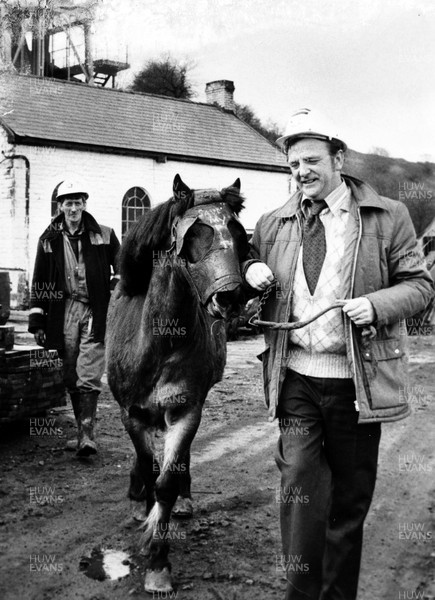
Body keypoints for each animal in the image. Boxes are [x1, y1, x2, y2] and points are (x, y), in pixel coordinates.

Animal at [105, 172, 249, 592]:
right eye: (195, 233)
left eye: (238, 233)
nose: (231, 296)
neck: (160, 343)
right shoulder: (132, 413)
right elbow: (146, 463)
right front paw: (140, 502)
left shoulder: (186, 411)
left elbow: (167, 481)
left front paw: (158, 562)